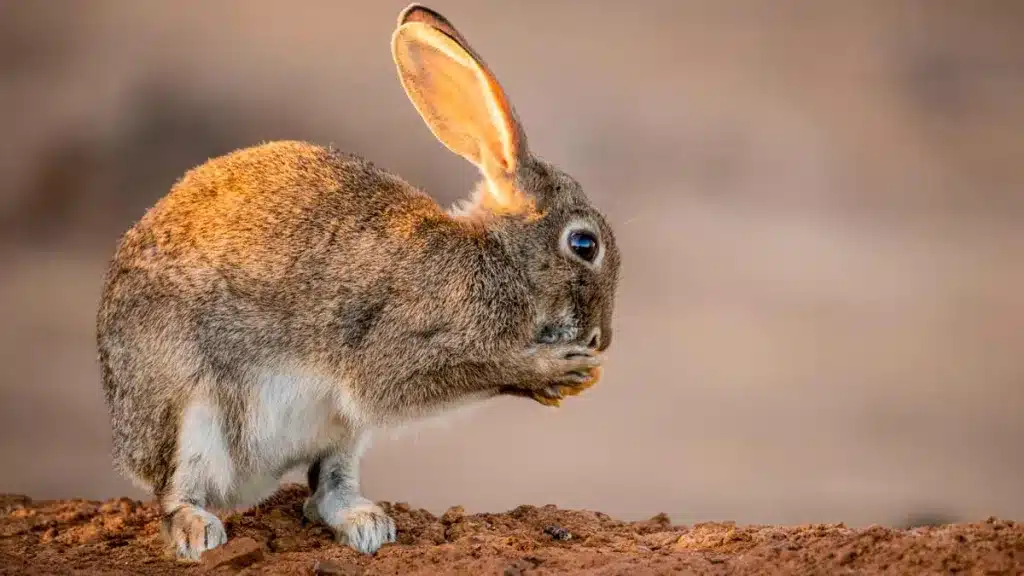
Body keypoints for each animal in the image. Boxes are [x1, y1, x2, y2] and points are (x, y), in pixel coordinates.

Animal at [97, 3, 614, 561]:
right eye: (584, 245)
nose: (601, 338)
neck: (500, 259)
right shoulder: (397, 349)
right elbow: (435, 376)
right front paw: (552, 370)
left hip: (340, 432)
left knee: (326, 489)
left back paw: (365, 524)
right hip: (189, 412)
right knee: (176, 492)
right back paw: (198, 531)